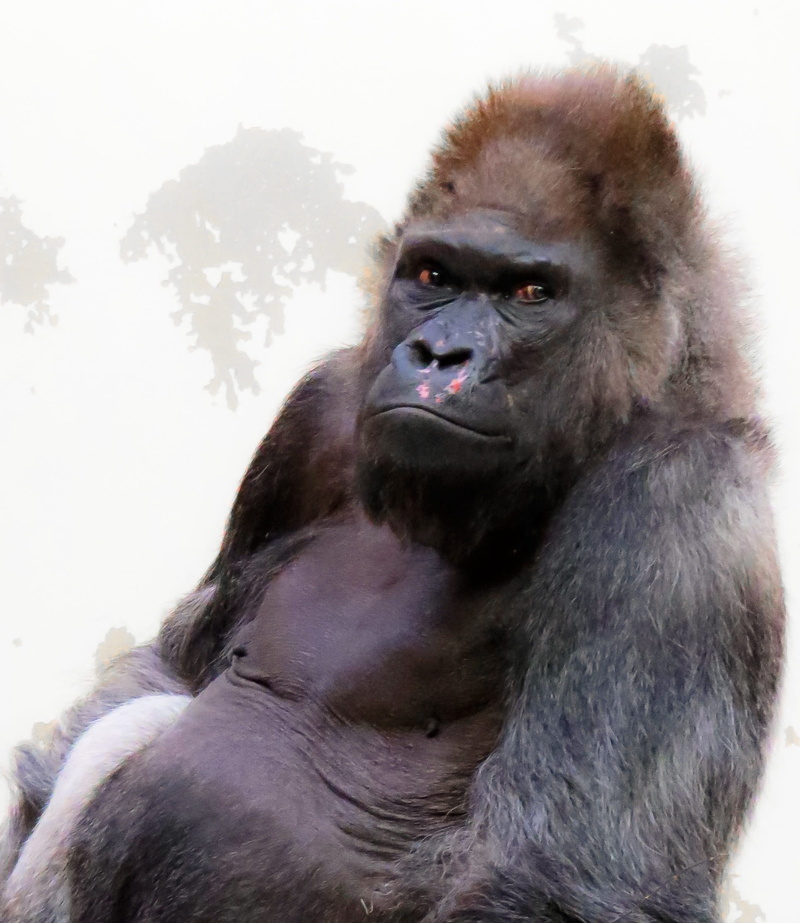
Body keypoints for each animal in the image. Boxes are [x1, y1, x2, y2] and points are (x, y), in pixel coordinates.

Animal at [1, 66, 784, 923]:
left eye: (530, 292)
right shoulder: (313, 417)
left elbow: (559, 875)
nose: (439, 354)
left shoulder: (676, 502)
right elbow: (168, 668)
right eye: (433, 275)